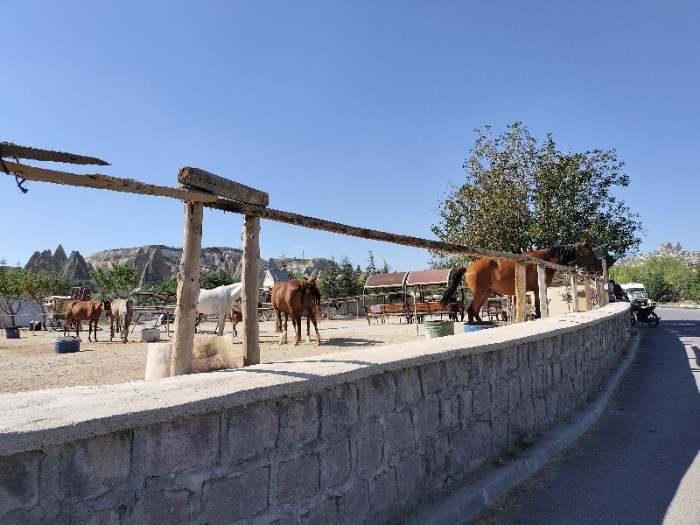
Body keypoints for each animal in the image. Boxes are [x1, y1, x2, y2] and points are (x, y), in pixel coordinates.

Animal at [441, 240, 602, 323]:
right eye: (589, 252)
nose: (599, 267)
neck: (543, 260)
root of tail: (469, 267)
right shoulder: (537, 289)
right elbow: (538, 307)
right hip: (480, 292)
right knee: (470, 310)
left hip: (486, 292)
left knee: (475, 309)